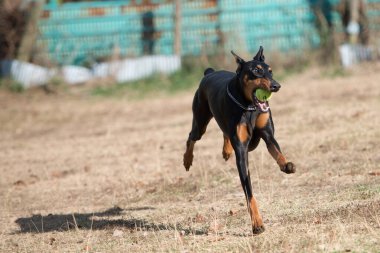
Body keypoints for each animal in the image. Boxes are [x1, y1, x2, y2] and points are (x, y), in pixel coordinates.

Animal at [183, 46, 296, 234]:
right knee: (192, 137)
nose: (276, 86)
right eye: (256, 71)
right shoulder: (242, 151)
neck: (250, 107)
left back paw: (226, 151)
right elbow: (249, 193)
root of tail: (209, 72)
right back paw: (187, 160)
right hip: (200, 121)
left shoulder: (268, 134)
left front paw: (287, 165)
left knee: (224, 132)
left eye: (270, 71)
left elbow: (276, 150)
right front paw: (257, 224)